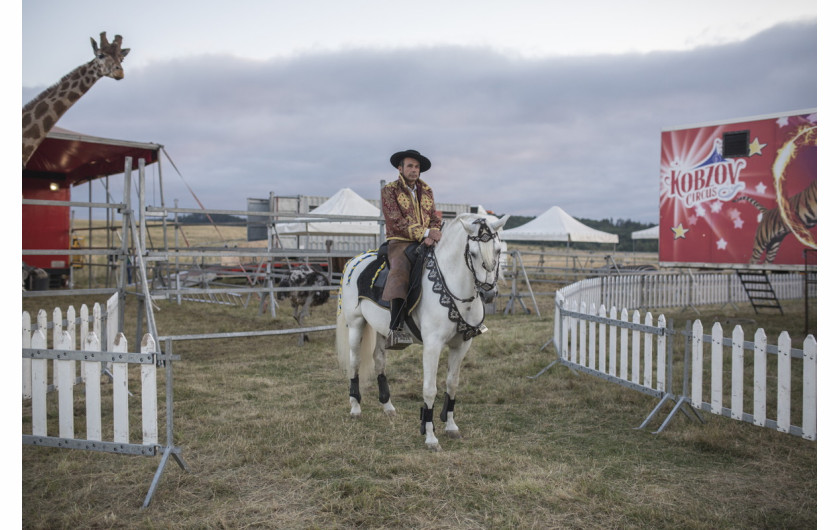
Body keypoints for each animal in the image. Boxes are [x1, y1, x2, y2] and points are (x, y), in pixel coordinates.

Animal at [336, 212, 508, 448]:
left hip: (381, 330)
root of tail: (355, 260)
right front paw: (430, 436)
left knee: (379, 361)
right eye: (472, 253)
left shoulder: (461, 345)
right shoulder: (432, 346)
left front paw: (451, 426)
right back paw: (355, 407)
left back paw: (388, 406)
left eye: (499, 250)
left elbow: (452, 384)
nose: (488, 293)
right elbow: (429, 389)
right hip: (356, 324)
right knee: (354, 362)